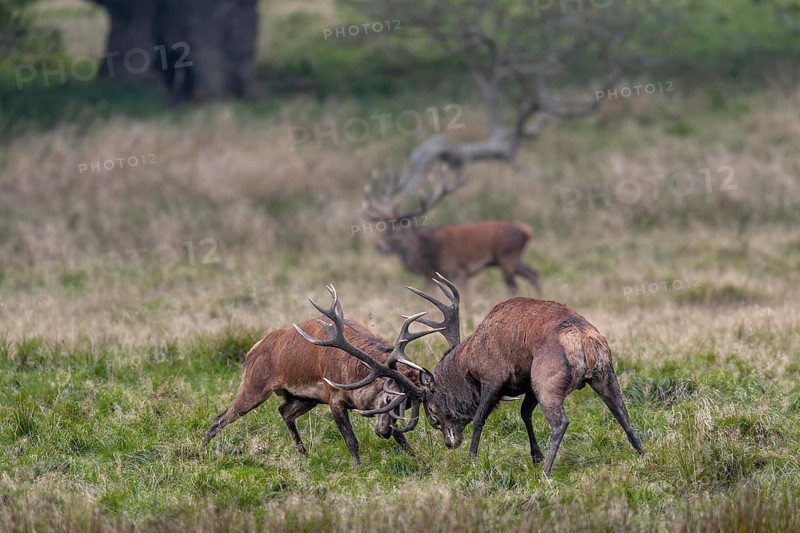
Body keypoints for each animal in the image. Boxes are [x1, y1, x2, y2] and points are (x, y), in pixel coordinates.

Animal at [203, 305, 436, 464]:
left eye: (406, 405)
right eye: (388, 398)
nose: (382, 432)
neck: (353, 376)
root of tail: (253, 349)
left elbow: (401, 436)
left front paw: (418, 459)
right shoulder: (334, 398)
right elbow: (351, 439)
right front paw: (358, 468)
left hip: (306, 398)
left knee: (284, 410)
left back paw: (304, 453)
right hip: (253, 385)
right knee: (220, 418)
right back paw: (201, 451)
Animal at [299, 274, 643, 476]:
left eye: (432, 412)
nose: (450, 444)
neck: (468, 363)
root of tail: (585, 343)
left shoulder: (495, 376)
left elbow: (479, 418)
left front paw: (473, 459)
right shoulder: (525, 382)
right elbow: (524, 414)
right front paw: (533, 456)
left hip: (549, 378)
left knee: (561, 422)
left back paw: (547, 472)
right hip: (605, 373)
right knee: (622, 412)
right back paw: (641, 453)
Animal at [362, 167, 541, 295]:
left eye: (398, 231)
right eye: (384, 229)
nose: (379, 245)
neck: (429, 255)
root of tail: (526, 232)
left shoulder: (459, 270)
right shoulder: (432, 276)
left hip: (507, 256)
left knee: (513, 286)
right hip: (511, 259)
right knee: (534, 273)